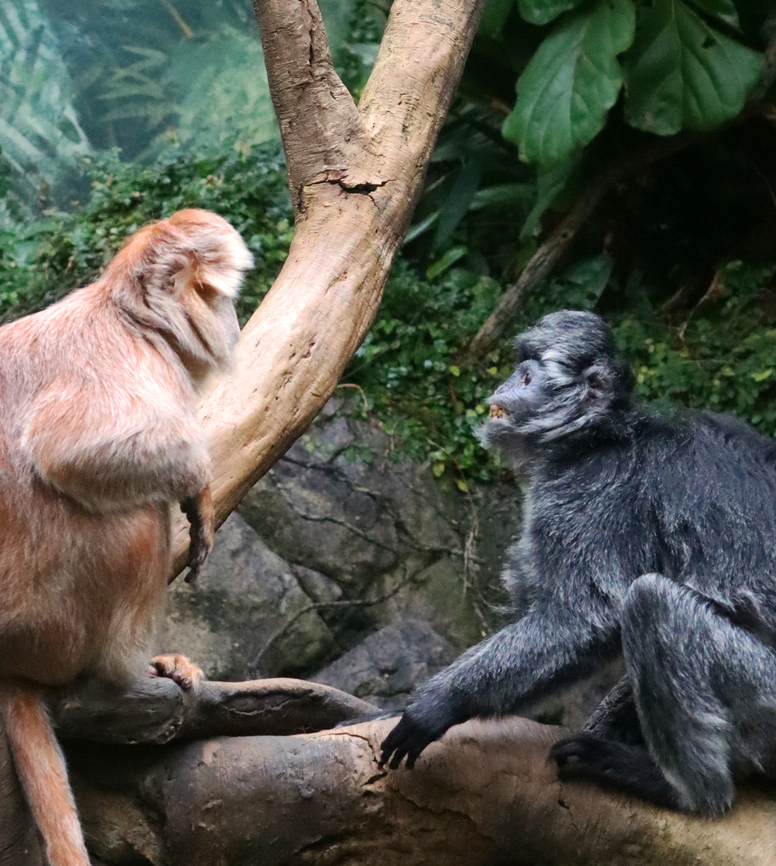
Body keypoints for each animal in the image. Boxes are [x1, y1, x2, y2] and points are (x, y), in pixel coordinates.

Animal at [0, 208, 252, 865]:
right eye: (222, 297)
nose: (235, 321)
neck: (130, 318)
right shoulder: (137, 363)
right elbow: (68, 451)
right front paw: (199, 484)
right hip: (53, 628)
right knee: (137, 518)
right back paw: (125, 675)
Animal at [380, 309, 776, 817]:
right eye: (520, 367)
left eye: (530, 375)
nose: (509, 380)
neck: (598, 435)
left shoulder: (590, 487)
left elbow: (584, 619)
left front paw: (435, 705)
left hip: (765, 694)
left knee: (651, 601)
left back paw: (684, 791)